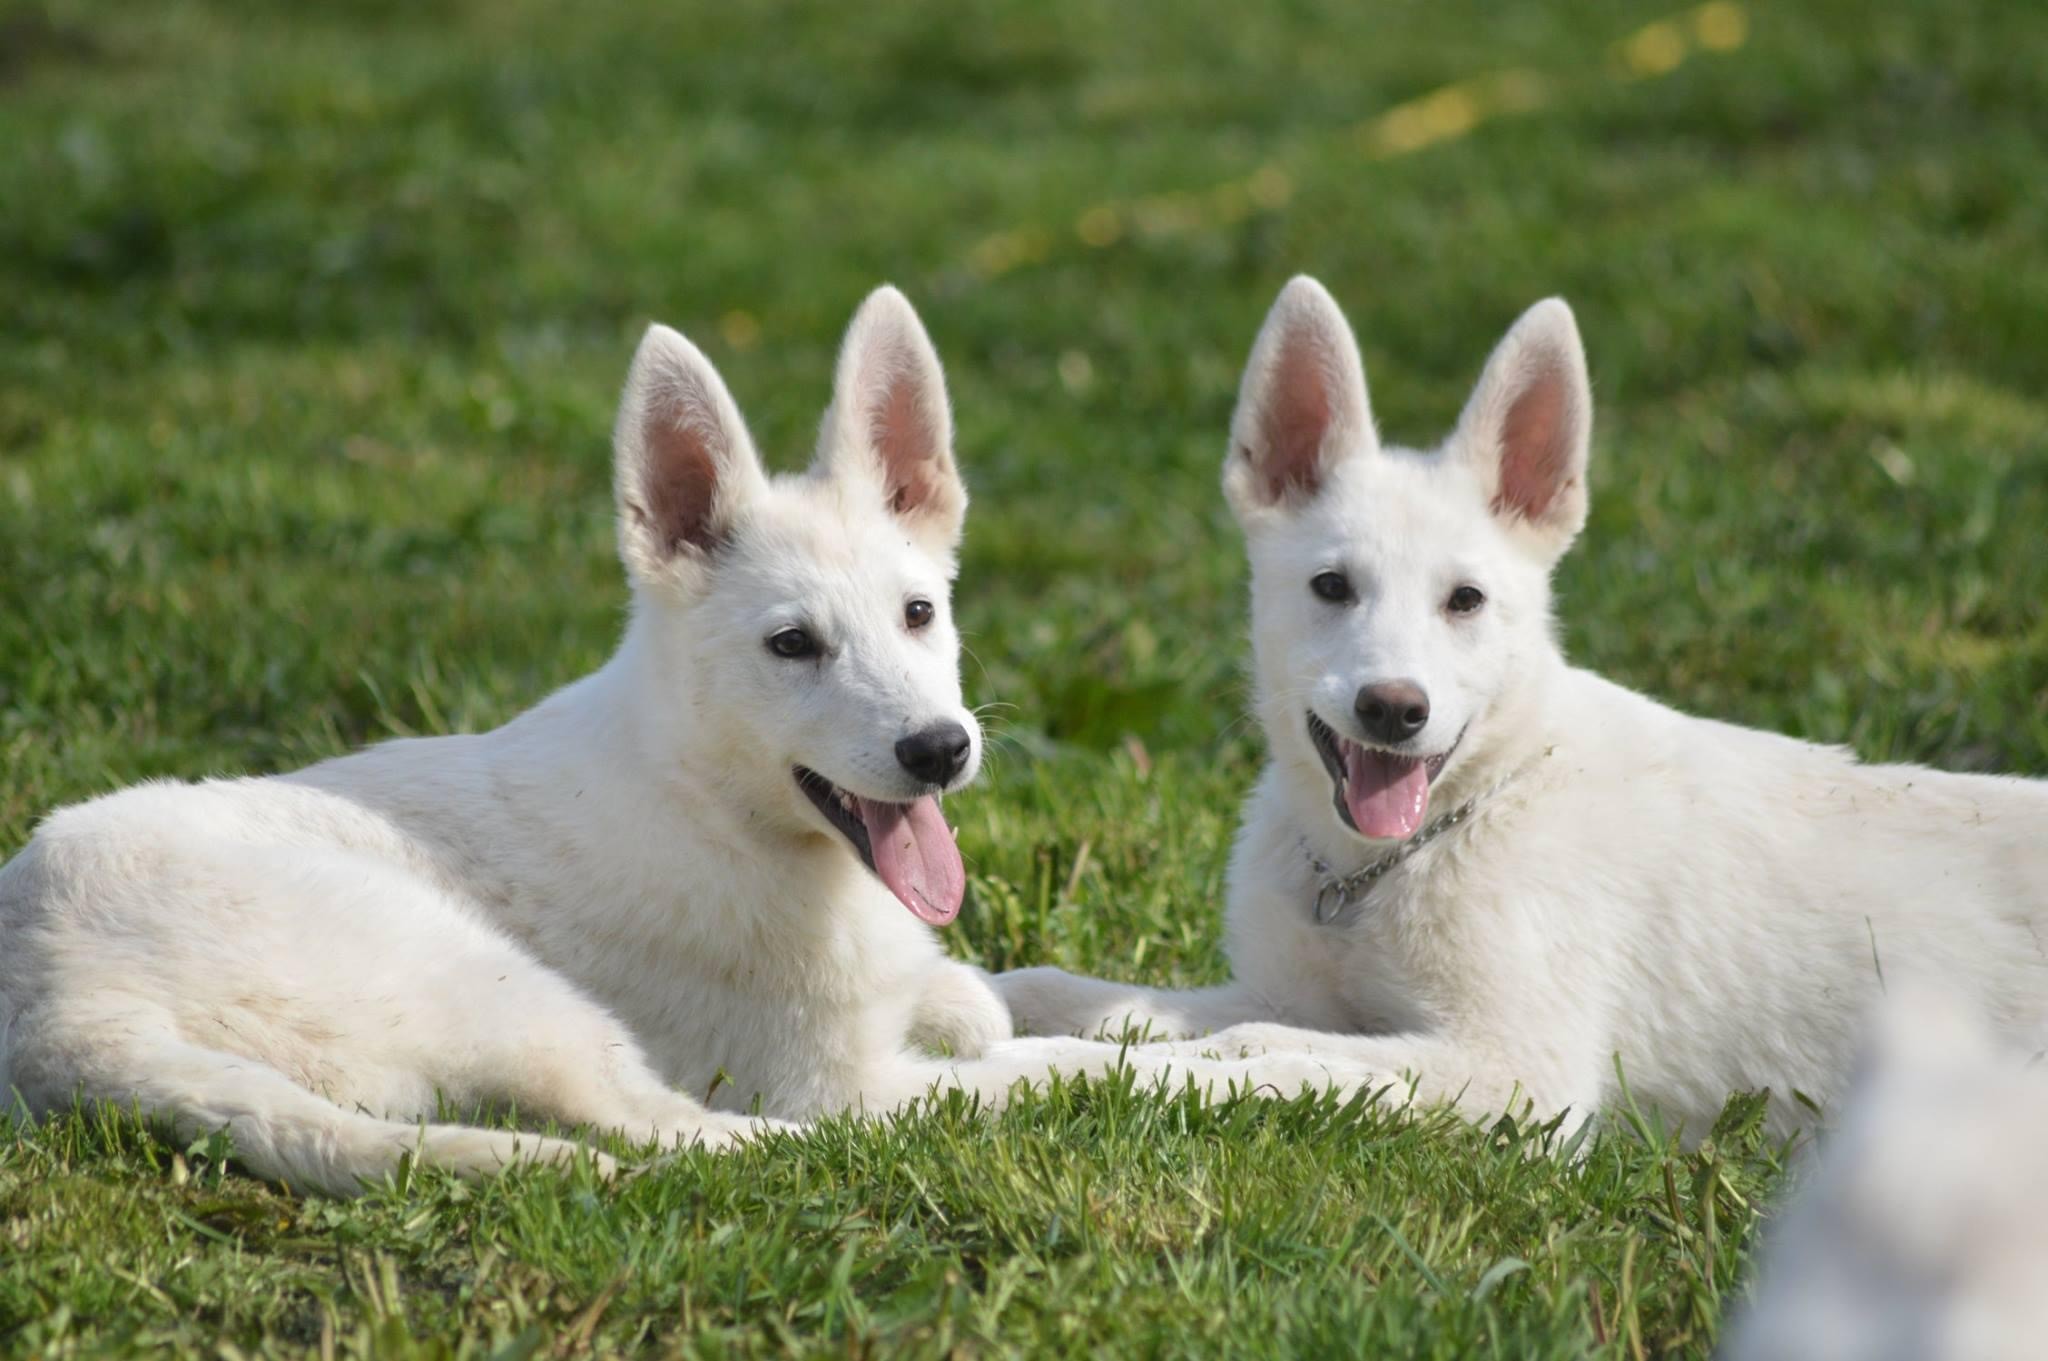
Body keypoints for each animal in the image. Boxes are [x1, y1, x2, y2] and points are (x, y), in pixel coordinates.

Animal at [4, 284, 1376, 1187]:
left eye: (919, 611)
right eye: (791, 645)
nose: (939, 751)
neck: (713, 806)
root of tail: (63, 1017)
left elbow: (981, 999)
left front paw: (984, 995)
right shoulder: (844, 1075)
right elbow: (1051, 1070)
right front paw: (1238, 1066)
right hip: (492, 978)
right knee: (656, 1126)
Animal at [995, 274, 2048, 1137]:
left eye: (1465, 600)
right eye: (1331, 586)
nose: (1393, 710)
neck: (1381, 869)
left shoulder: (1514, 1073)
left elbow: (1240, 1055)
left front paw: (1025, 1073)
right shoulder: (1295, 989)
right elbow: (1099, 996)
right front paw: (998, 1005)